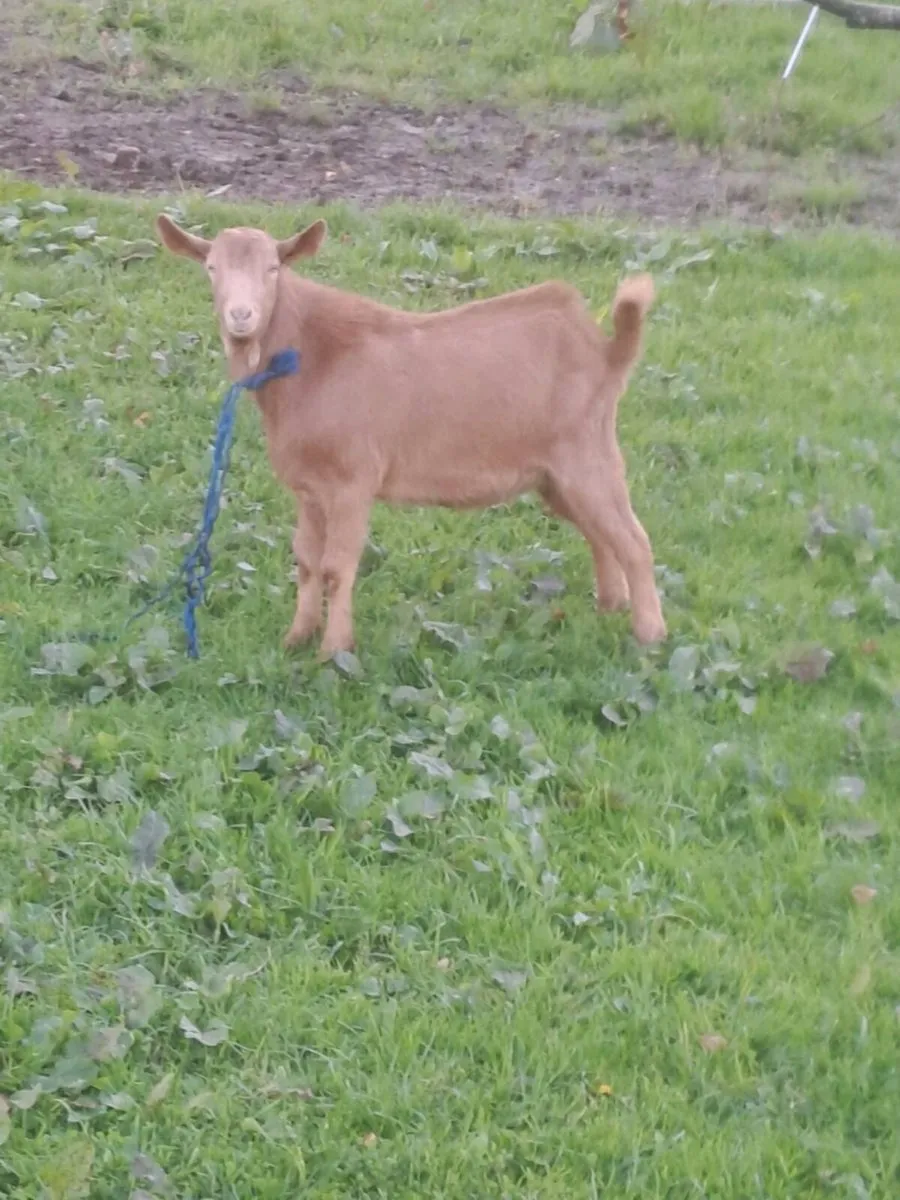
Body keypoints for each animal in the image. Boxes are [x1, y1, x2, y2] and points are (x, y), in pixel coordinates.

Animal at [156, 214, 667, 659]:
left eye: (273, 268)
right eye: (211, 267)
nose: (241, 316)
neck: (311, 358)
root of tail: (607, 352)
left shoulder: (352, 481)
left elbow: (337, 566)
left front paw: (333, 653)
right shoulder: (309, 488)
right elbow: (306, 560)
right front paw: (296, 638)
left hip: (587, 455)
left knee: (634, 540)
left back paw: (650, 636)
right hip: (553, 476)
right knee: (599, 533)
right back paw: (610, 606)